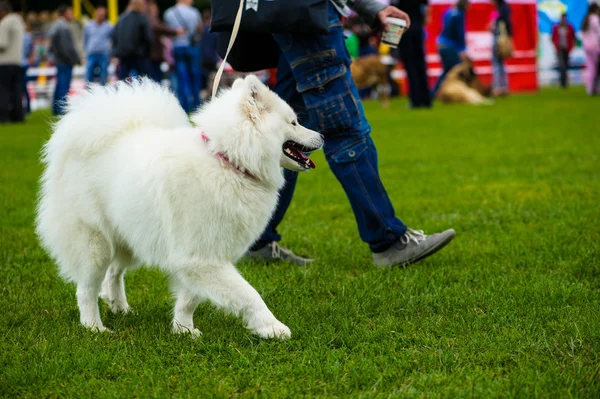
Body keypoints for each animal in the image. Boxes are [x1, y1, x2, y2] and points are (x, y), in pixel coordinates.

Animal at [34, 76, 324, 340]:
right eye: (294, 122)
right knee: (86, 289)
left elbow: (190, 298)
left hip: (130, 235)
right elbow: (248, 294)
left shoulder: (199, 257)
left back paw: (120, 307)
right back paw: (94, 327)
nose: (322, 135)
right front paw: (272, 327)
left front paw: (183, 329)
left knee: (114, 273)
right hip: (95, 242)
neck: (228, 161)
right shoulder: (200, 256)